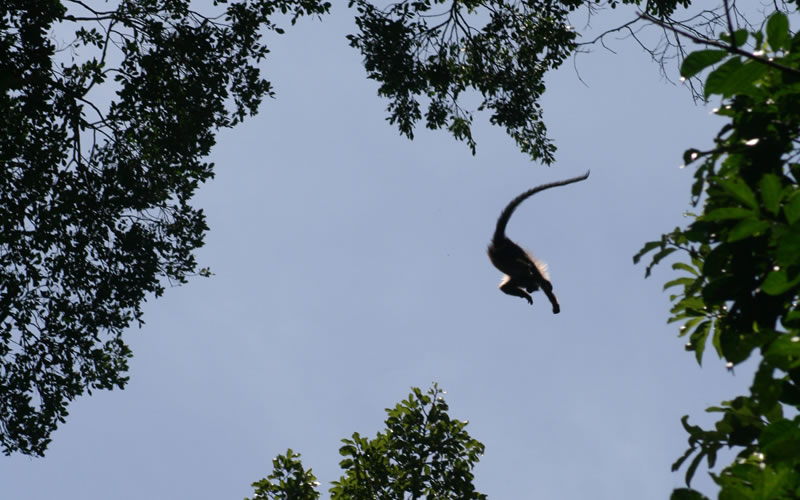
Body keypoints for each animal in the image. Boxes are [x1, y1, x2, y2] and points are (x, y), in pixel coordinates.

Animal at [484, 171, 592, 312]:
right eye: (531, 288)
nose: (530, 290)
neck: (527, 279)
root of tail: (499, 241)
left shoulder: (522, 279)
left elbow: (505, 288)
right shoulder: (523, 279)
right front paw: (550, 301)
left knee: (526, 264)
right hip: (505, 255)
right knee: (525, 265)